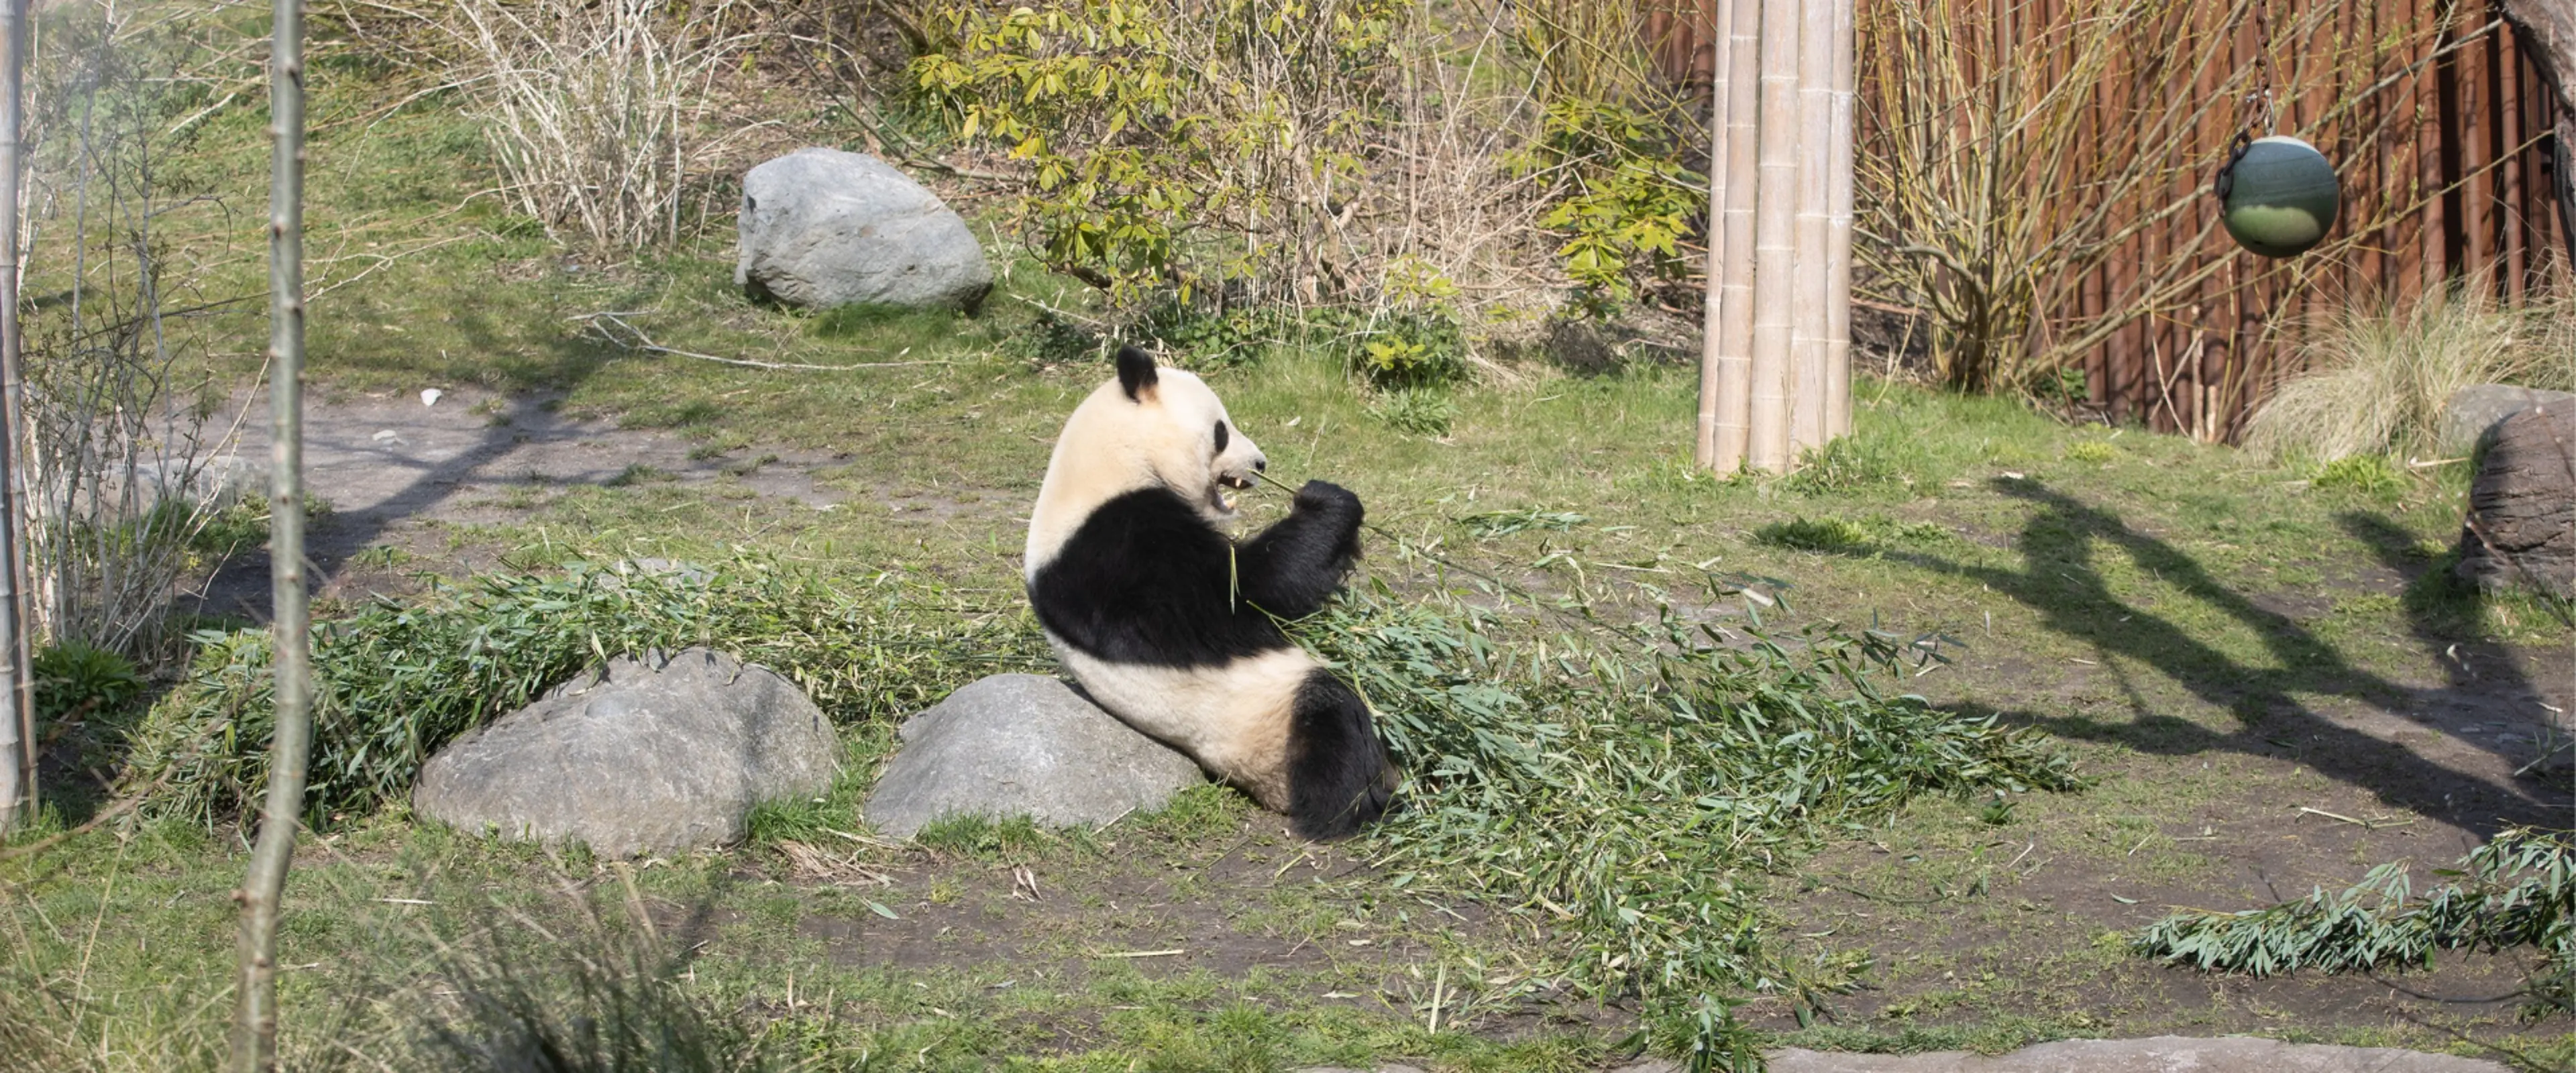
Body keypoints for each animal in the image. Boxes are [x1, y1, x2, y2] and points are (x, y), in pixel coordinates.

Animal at [1024, 345, 1399, 840]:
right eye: (1221, 431)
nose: (1261, 464)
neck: (1110, 461)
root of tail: (1268, 790)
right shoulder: (1116, 547)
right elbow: (1246, 592)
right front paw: (1327, 500)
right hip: (1263, 715)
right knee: (1331, 717)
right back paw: (1357, 806)